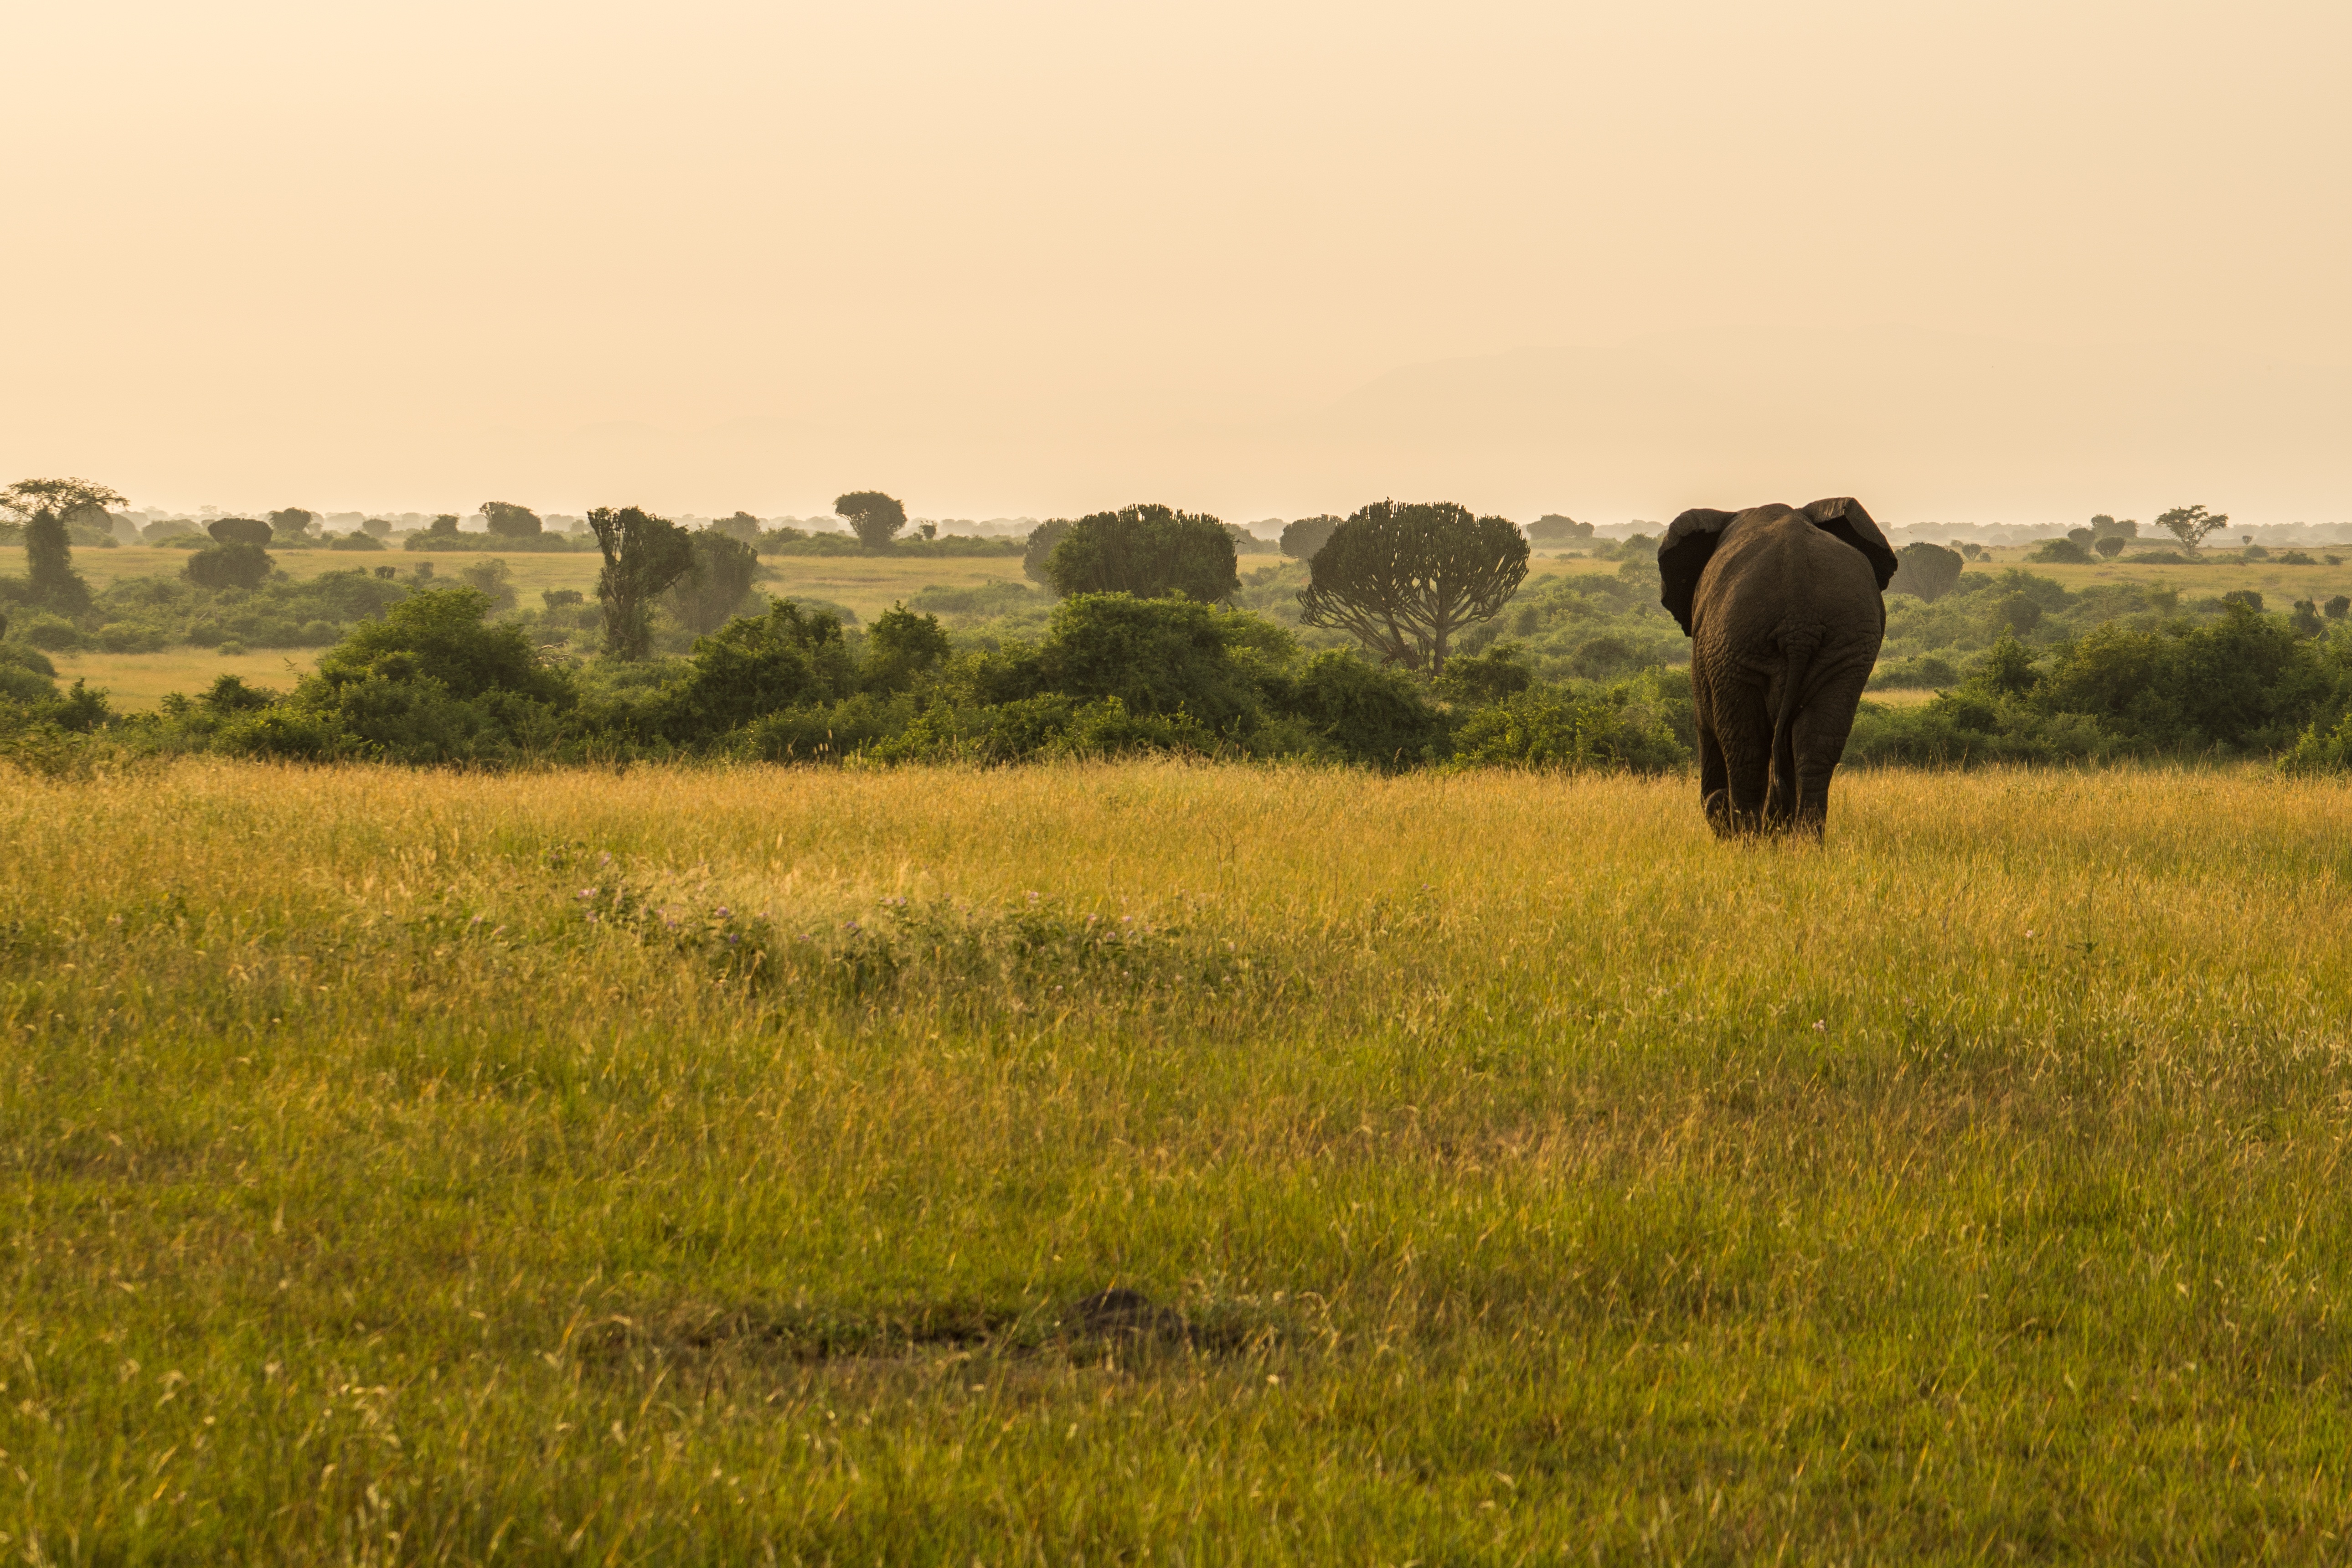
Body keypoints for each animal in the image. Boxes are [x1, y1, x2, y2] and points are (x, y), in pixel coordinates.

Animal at [1656, 499, 1897, 839]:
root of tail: (1799, 624)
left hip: (1734, 643)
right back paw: (1804, 843)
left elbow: (1705, 725)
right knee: (1817, 745)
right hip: (1847, 642)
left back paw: (1747, 841)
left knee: (1746, 748)